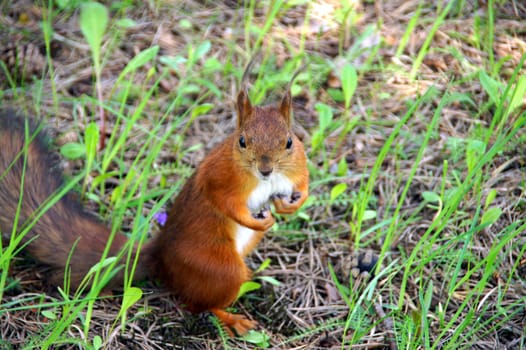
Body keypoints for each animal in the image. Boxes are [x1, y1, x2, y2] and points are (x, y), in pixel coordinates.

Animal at [0, 80, 312, 334]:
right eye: (242, 141)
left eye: (290, 141)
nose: (266, 169)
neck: (264, 180)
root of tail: (161, 256)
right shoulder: (218, 177)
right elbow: (226, 204)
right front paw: (259, 221)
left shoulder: (298, 167)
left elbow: (304, 185)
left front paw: (291, 206)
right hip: (219, 268)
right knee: (198, 304)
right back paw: (231, 319)